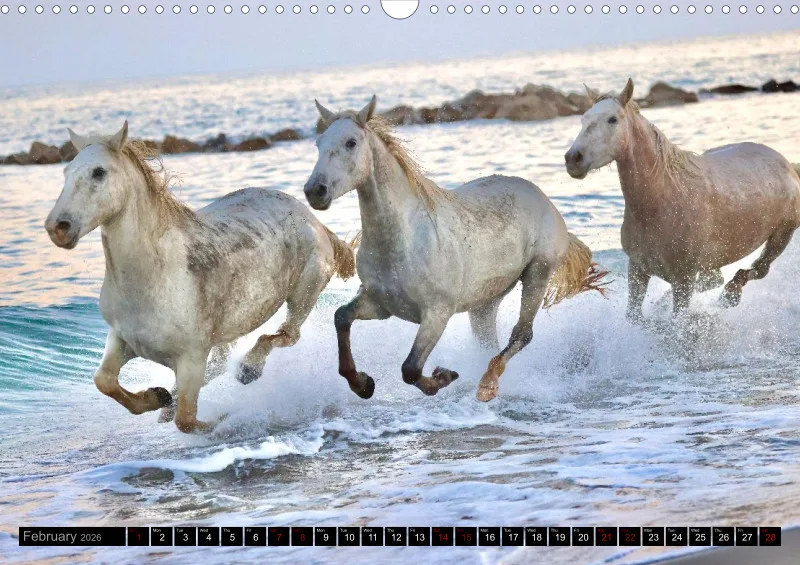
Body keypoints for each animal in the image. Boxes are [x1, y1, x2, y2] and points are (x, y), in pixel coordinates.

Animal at [44, 122, 355, 433]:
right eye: (65, 172)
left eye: (99, 172)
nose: (57, 227)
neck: (155, 277)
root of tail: (315, 222)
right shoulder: (122, 339)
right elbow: (104, 381)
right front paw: (157, 396)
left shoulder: (191, 358)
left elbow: (187, 420)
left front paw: (224, 418)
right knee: (224, 360)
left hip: (303, 295)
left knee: (287, 335)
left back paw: (248, 369)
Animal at [304, 96, 607, 402]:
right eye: (318, 143)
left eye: (351, 142)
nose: (314, 191)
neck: (403, 241)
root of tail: (546, 201)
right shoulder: (380, 304)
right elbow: (341, 317)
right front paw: (363, 385)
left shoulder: (437, 314)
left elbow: (410, 369)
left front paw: (443, 377)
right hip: (486, 300)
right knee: (489, 339)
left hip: (538, 273)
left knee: (522, 334)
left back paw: (486, 385)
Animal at [565, 78, 800, 319]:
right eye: (583, 119)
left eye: (612, 119)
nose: (573, 159)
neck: (663, 201)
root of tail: (786, 164)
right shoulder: (638, 270)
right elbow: (634, 316)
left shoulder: (683, 280)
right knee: (715, 279)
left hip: (781, 236)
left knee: (759, 269)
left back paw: (730, 294)